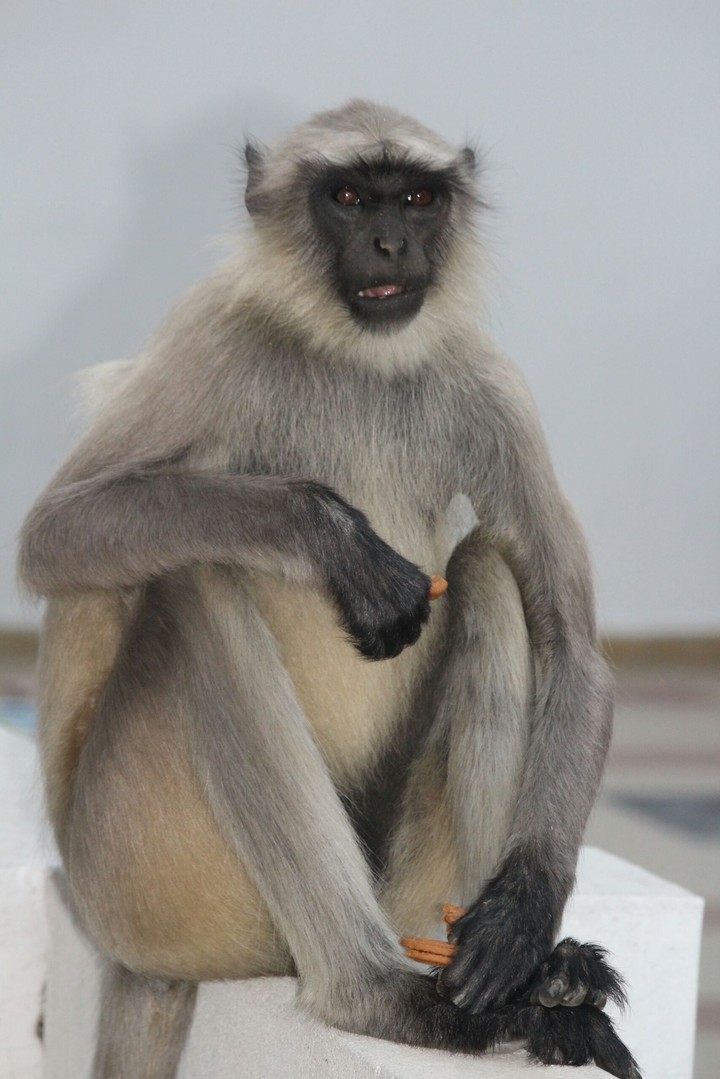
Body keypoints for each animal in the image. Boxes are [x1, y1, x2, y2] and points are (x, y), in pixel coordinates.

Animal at [18, 101, 640, 1078]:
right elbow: (55, 535)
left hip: (409, 888)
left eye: (417, 199)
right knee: (196, 574)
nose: (390, 243)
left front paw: (525, 911)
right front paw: (332, 537)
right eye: (348, 197)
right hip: (141, 883)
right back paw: (378, 996)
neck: (357, 357)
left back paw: (539, 985)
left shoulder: (495, 388)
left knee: (487, 568)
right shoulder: (212, 335)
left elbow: (571, 645)